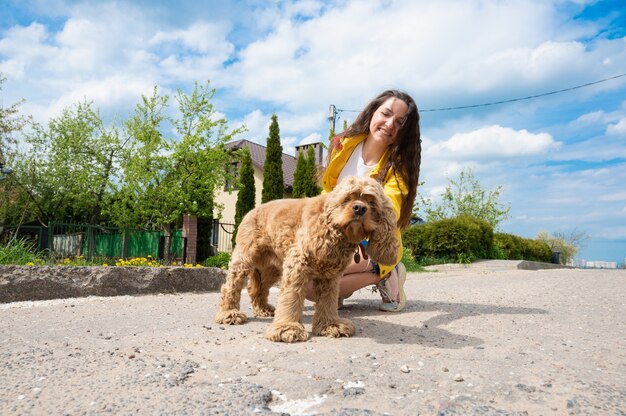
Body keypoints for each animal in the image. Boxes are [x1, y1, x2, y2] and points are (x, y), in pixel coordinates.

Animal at [214, 176, 398, 342]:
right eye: (347, 199)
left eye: (372, 203)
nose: (359, 208)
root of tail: (252, 211)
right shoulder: (297, 264)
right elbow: (291, 296)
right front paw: (287, 329)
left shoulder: (331, 276)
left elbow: (328, 300)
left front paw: (330, 325)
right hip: (245, 257)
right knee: (231, 286)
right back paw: (229, 313)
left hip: (273, 268)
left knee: (258, 287)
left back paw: (263, 309)